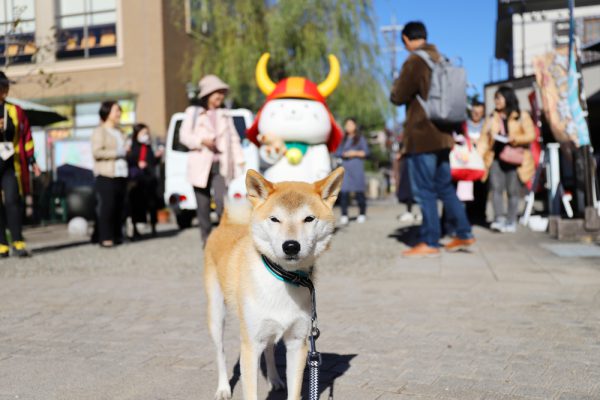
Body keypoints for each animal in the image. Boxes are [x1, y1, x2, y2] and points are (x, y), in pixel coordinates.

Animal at [203, 167, 342, 398]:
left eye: (309, 218)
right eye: (275, 219)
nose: (291, 246)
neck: (282, 277)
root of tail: (227, 223)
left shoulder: (298, 342)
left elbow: (294, 391)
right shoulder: (250, 345)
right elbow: (250, 392)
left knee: (268, 349)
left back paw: (275, 380)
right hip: (216, 315)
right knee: (220, 352)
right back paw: (223, 388)